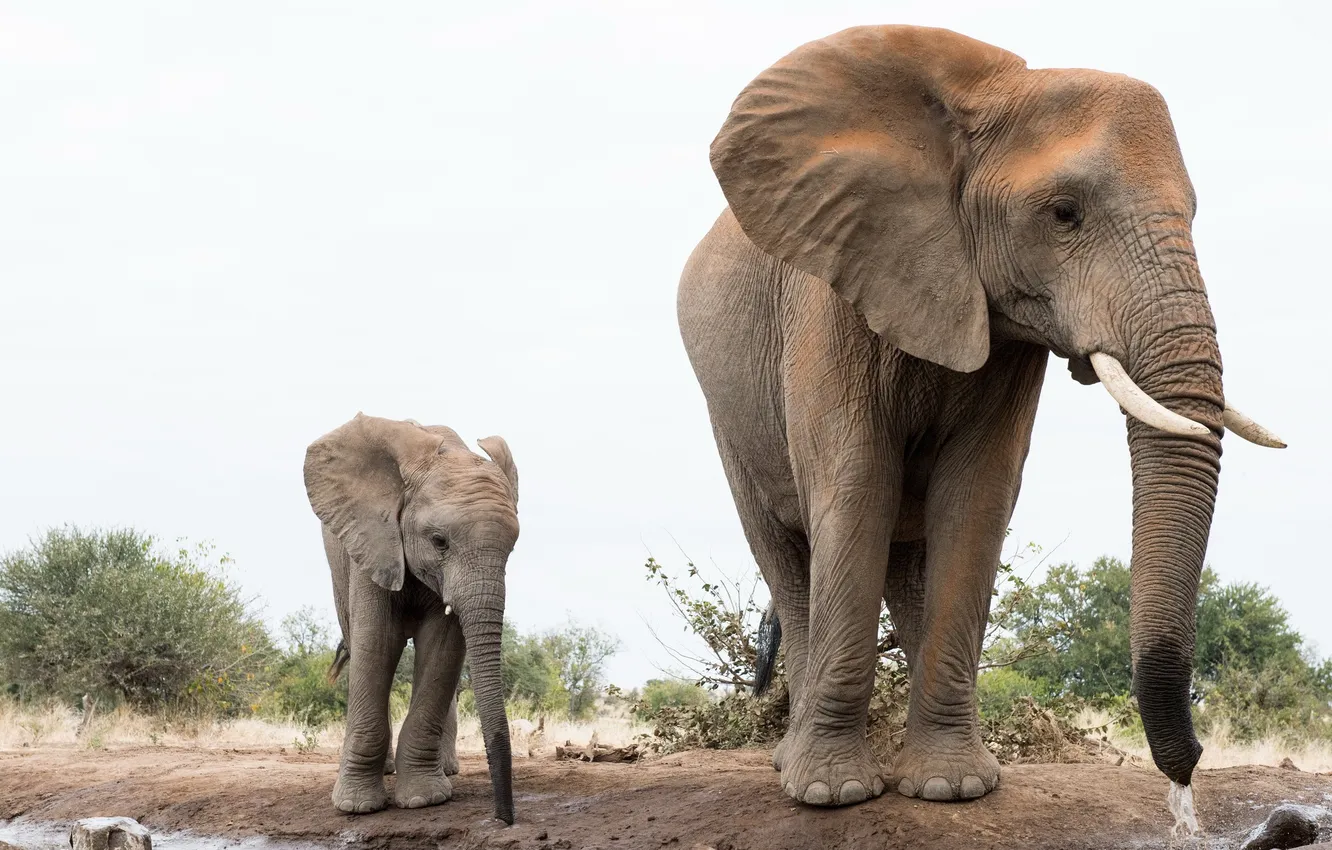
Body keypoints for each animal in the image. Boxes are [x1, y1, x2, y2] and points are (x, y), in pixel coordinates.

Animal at [303, 413, 519, 821]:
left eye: (512, 547)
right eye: (439, 541)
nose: (504, 818)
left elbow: (442, 649)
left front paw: (424, 799)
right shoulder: (373, 540)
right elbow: (376, 644)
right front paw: (357, 807)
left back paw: (446, 769)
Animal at [677, 25, 1284, 807]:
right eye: (1064, 213)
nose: (1190, 768)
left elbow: (975, 497)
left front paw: (951, 788)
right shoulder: (831, 291)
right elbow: (855, 485)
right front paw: (836, 797)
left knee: (907, 564)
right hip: (728, 413)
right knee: (785, 553)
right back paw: (795, 768)